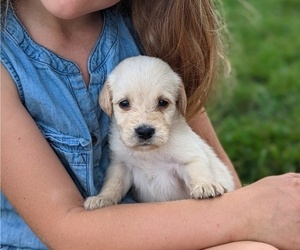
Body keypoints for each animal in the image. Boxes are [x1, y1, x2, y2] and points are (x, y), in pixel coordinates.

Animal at [84, 55, 234, 210]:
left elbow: (198, 171)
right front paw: (102, 198)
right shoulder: (121, 166)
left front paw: (205, 185)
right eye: (124, 103)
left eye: (163, 102)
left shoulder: (189, 158)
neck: (149, 153)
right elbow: (113, 184)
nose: (144, 131)